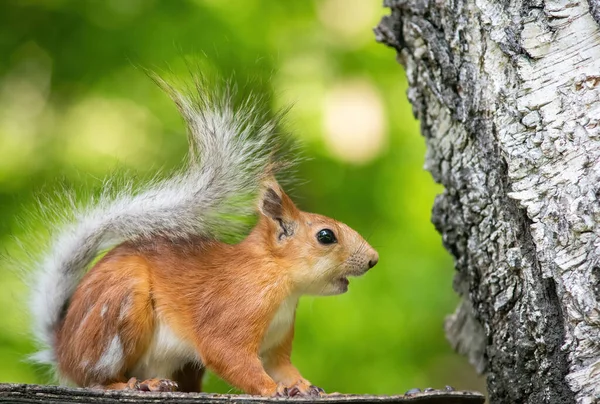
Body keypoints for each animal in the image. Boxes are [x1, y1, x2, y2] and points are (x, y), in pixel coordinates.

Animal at [27, 73, 380, 398]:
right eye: (326, 236)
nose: (374, 259)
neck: (278, 279)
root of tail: (64, 351)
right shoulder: (232, 311)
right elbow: (229, 356)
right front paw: (273, 390)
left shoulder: (276, 342)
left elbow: (282, 367)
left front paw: (307, 387)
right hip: (120, 306)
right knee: (96, 380)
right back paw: (139, 384)